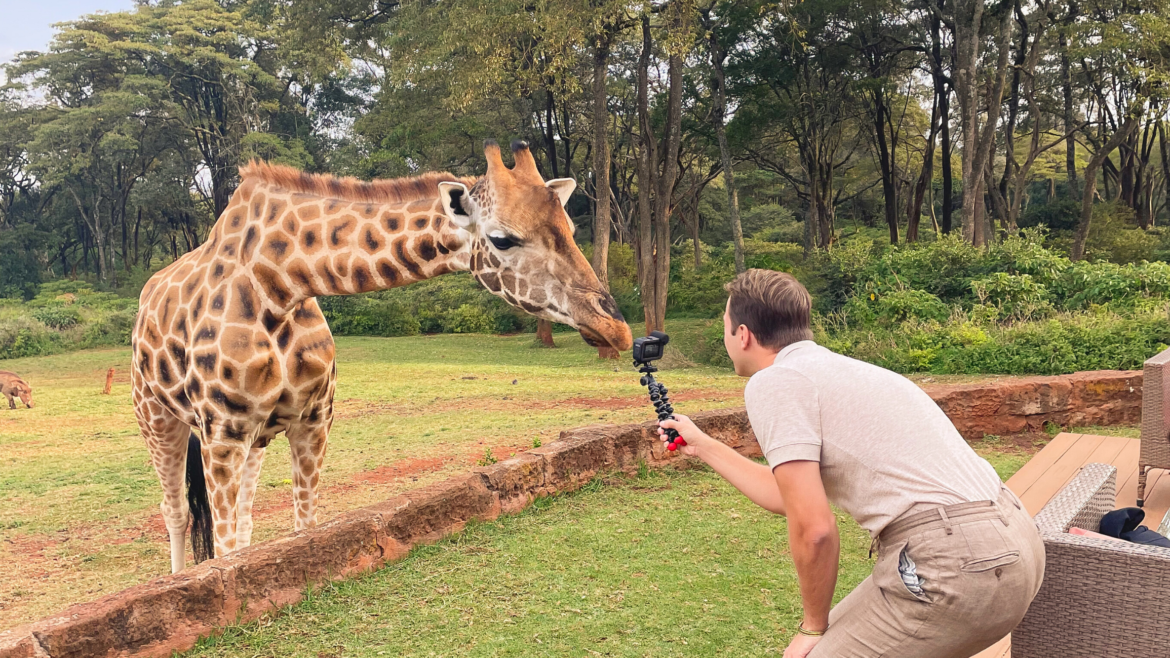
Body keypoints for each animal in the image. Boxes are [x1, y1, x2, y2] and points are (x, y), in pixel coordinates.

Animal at [132, 139, 636, 569]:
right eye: (502, 239)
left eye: (569, 227)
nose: (615, 328)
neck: (282, 285)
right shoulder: (221, 432)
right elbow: (224, 550)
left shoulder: (312, 420)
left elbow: (300, 531)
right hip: (158, 418)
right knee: (177, 512)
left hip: (255, 436)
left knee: (245, 516)